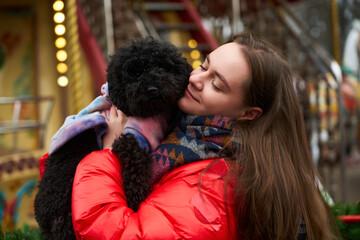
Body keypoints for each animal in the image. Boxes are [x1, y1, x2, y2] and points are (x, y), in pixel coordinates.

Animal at [34, 36, 191, 239]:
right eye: (136, 73)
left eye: (162, 67)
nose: (152, 89)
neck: (152, 113)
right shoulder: (131, 138)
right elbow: (135, 166)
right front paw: (134, 200)